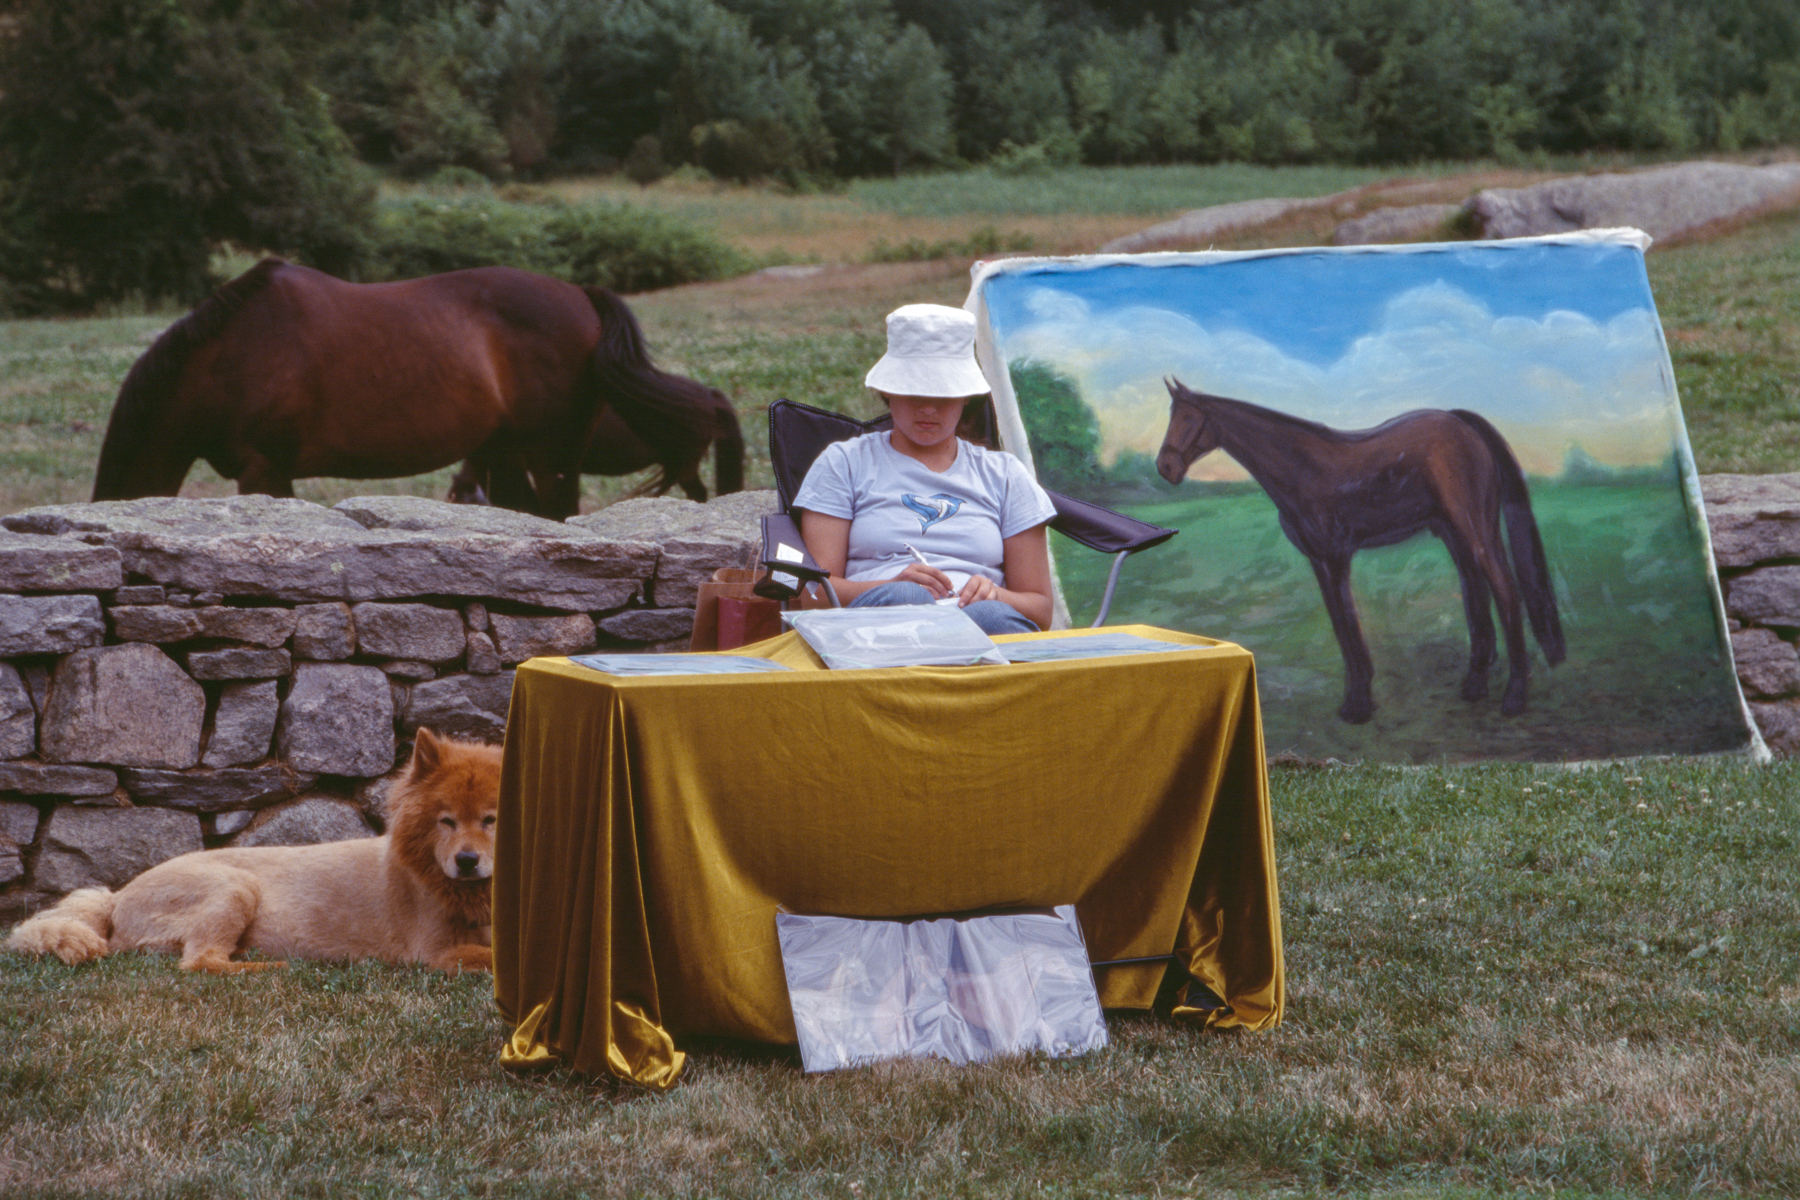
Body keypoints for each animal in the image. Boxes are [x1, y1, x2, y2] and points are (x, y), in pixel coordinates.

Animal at [8, 726, 500, 971]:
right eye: (446, 821)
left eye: (490, 820)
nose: (467, 860)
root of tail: (117, 896)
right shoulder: (434, 954)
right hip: (234, 887)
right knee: (200, 964)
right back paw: (271, 969)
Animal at [89, 259, 723, 518]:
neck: (231, 355)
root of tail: (583, 298)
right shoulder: (276, 473)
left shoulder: (262, 470)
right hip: (504, 453)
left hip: (553, 459)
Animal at [1152, 379, 1562, 726]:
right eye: (1171, 417)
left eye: (1188, 419)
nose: (1165, 467)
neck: (1302, 466)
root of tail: (1461, 423)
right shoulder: (1319, 561)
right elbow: (1340, 626)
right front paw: (1357, 698)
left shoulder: (1334, 559)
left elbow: (1348, 624)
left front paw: (1359, 704)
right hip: (1455, 533)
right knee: (1475, 592)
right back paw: (1475, 684)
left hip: (1474, 531)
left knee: (1505, 591)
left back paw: (1514, 697)